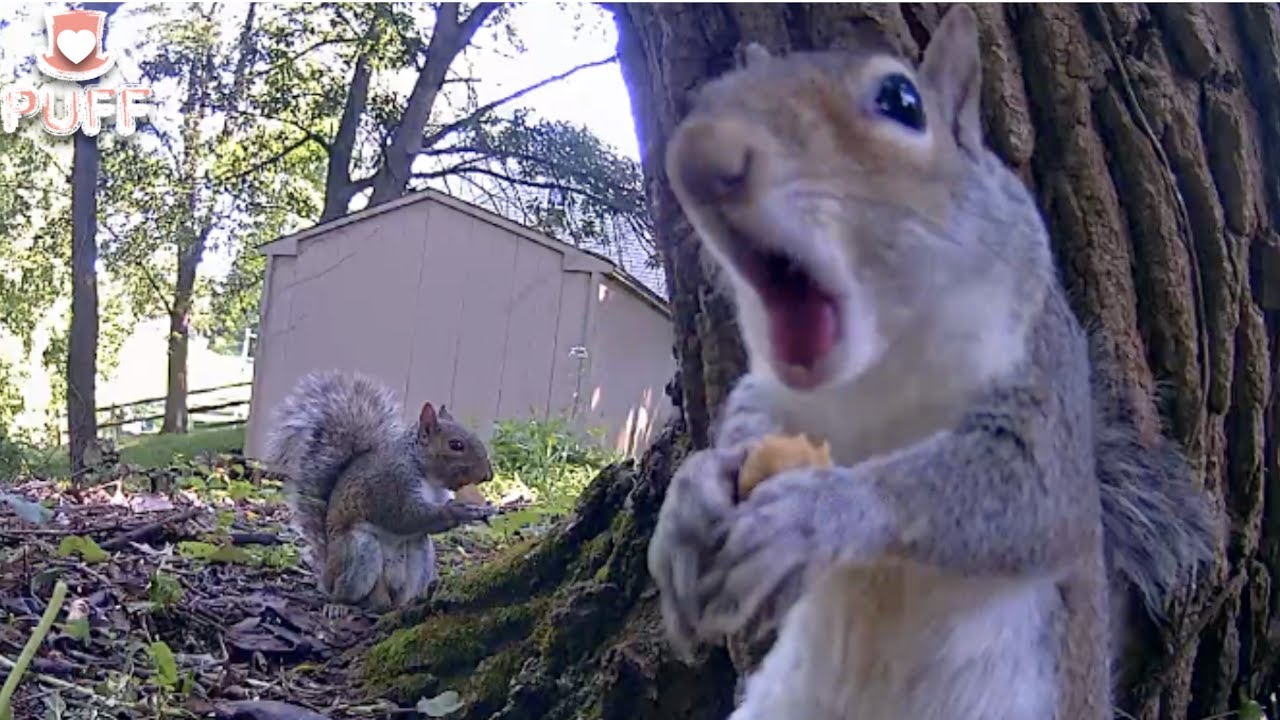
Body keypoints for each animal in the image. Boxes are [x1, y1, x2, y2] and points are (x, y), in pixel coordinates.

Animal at [266, 370, 495, 612]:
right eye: (456, 445)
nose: (488, 475)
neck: (425, 473)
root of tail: (326, 572)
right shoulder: (392, 483)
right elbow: (404, 516)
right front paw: (459, 510)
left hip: (419, 552)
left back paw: (407, 603)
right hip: (359, 552)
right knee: (351, 593)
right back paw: (340, 605)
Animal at [647, 6, 1220, 720]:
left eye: (901, 102)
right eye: (705, 94)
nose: (699, 157)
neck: (876, 369)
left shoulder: (1043, 382)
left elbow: (1033, 493)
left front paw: (823, 511)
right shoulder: (772, 389)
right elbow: (747, 420)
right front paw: (690, 498)